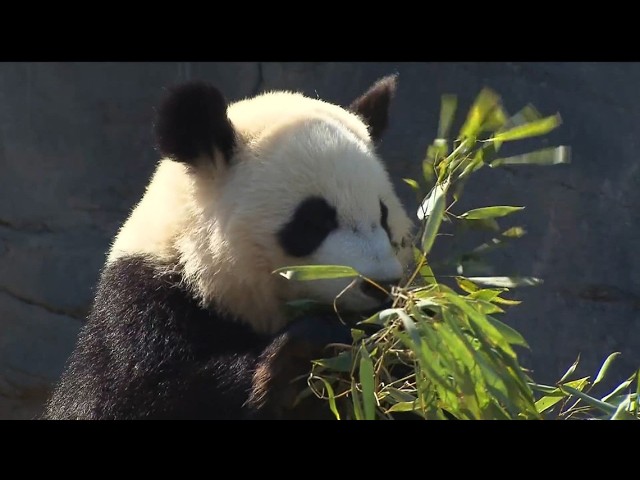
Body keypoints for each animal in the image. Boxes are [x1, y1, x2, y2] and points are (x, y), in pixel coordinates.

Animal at [43, 75, 414, 420]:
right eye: (314, 222)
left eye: (384, 216)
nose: (380, 284)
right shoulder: (140, 310)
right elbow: (129, 398)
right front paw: (307, 350)